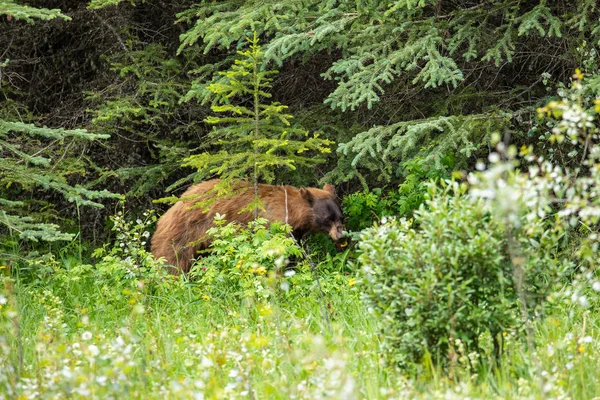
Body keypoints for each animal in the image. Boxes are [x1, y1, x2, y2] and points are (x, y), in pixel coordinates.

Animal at [152, 180, 344, 274]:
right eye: (328, 219)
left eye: (341, 217)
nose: (341, 235)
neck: (292, 211)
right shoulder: (271, 226)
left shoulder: (294, 233)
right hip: (184, 232)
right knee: (173, 259)